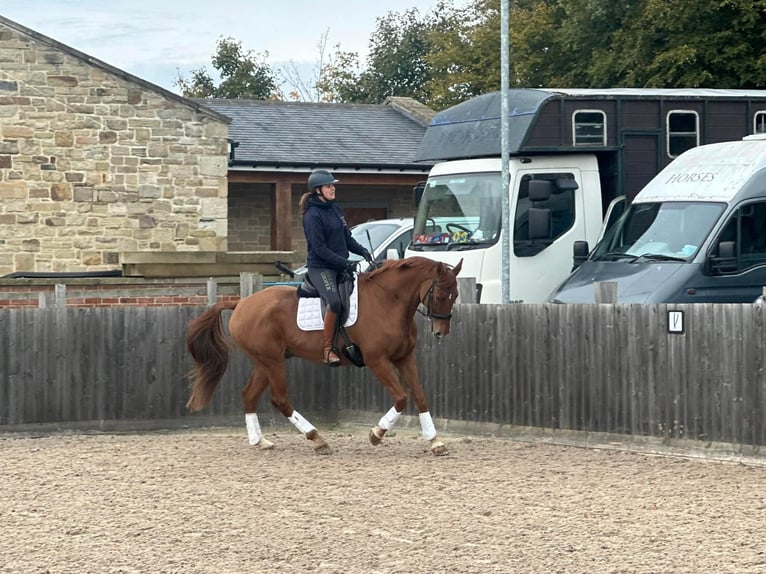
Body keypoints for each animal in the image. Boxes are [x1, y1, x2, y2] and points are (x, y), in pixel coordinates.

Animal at [188, 258, 462, 456]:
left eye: (455, 296)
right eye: (440, 296)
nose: (441, 332)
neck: (387, 301)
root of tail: (241, 303)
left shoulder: (404, 357)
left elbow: (420, 396)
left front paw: (435, 441)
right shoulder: (377, 361)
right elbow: (402, 398)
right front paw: (376, 434)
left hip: (266, 361)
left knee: (249, 395)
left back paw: (260, 441)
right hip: (272, 361)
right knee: (280, 400)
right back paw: (317, 440)